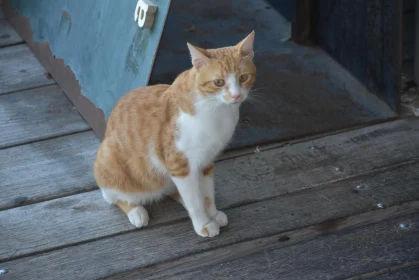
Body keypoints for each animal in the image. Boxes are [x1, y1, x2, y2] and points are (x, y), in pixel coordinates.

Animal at [94, 31, 258, 238]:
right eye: (218, 82)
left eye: (243, 77)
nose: (237, 96)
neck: (216, 110)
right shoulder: (180, 165)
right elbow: (195, 201)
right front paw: (204, 223)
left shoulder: (206, 161)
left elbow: (207, 194)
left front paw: (212, 213)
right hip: (109, 160)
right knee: (112, 196)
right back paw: (136, 211)